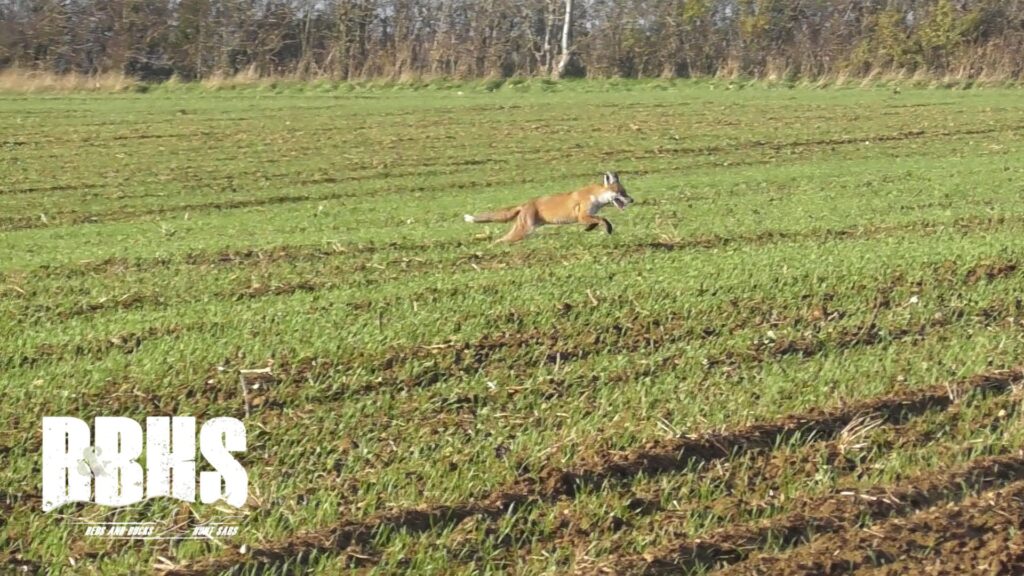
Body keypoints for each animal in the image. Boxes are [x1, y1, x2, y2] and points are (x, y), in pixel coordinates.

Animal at [464, 170, 630, 241]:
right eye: (622, 193)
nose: (632, 200)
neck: (595, 196)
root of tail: (525, 204)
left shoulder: (587, 215)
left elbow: (597, 220)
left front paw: (589, 229)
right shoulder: (582, 215)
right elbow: (603, 220)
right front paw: (608, 229)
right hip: (524, 230)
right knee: (502, 240)